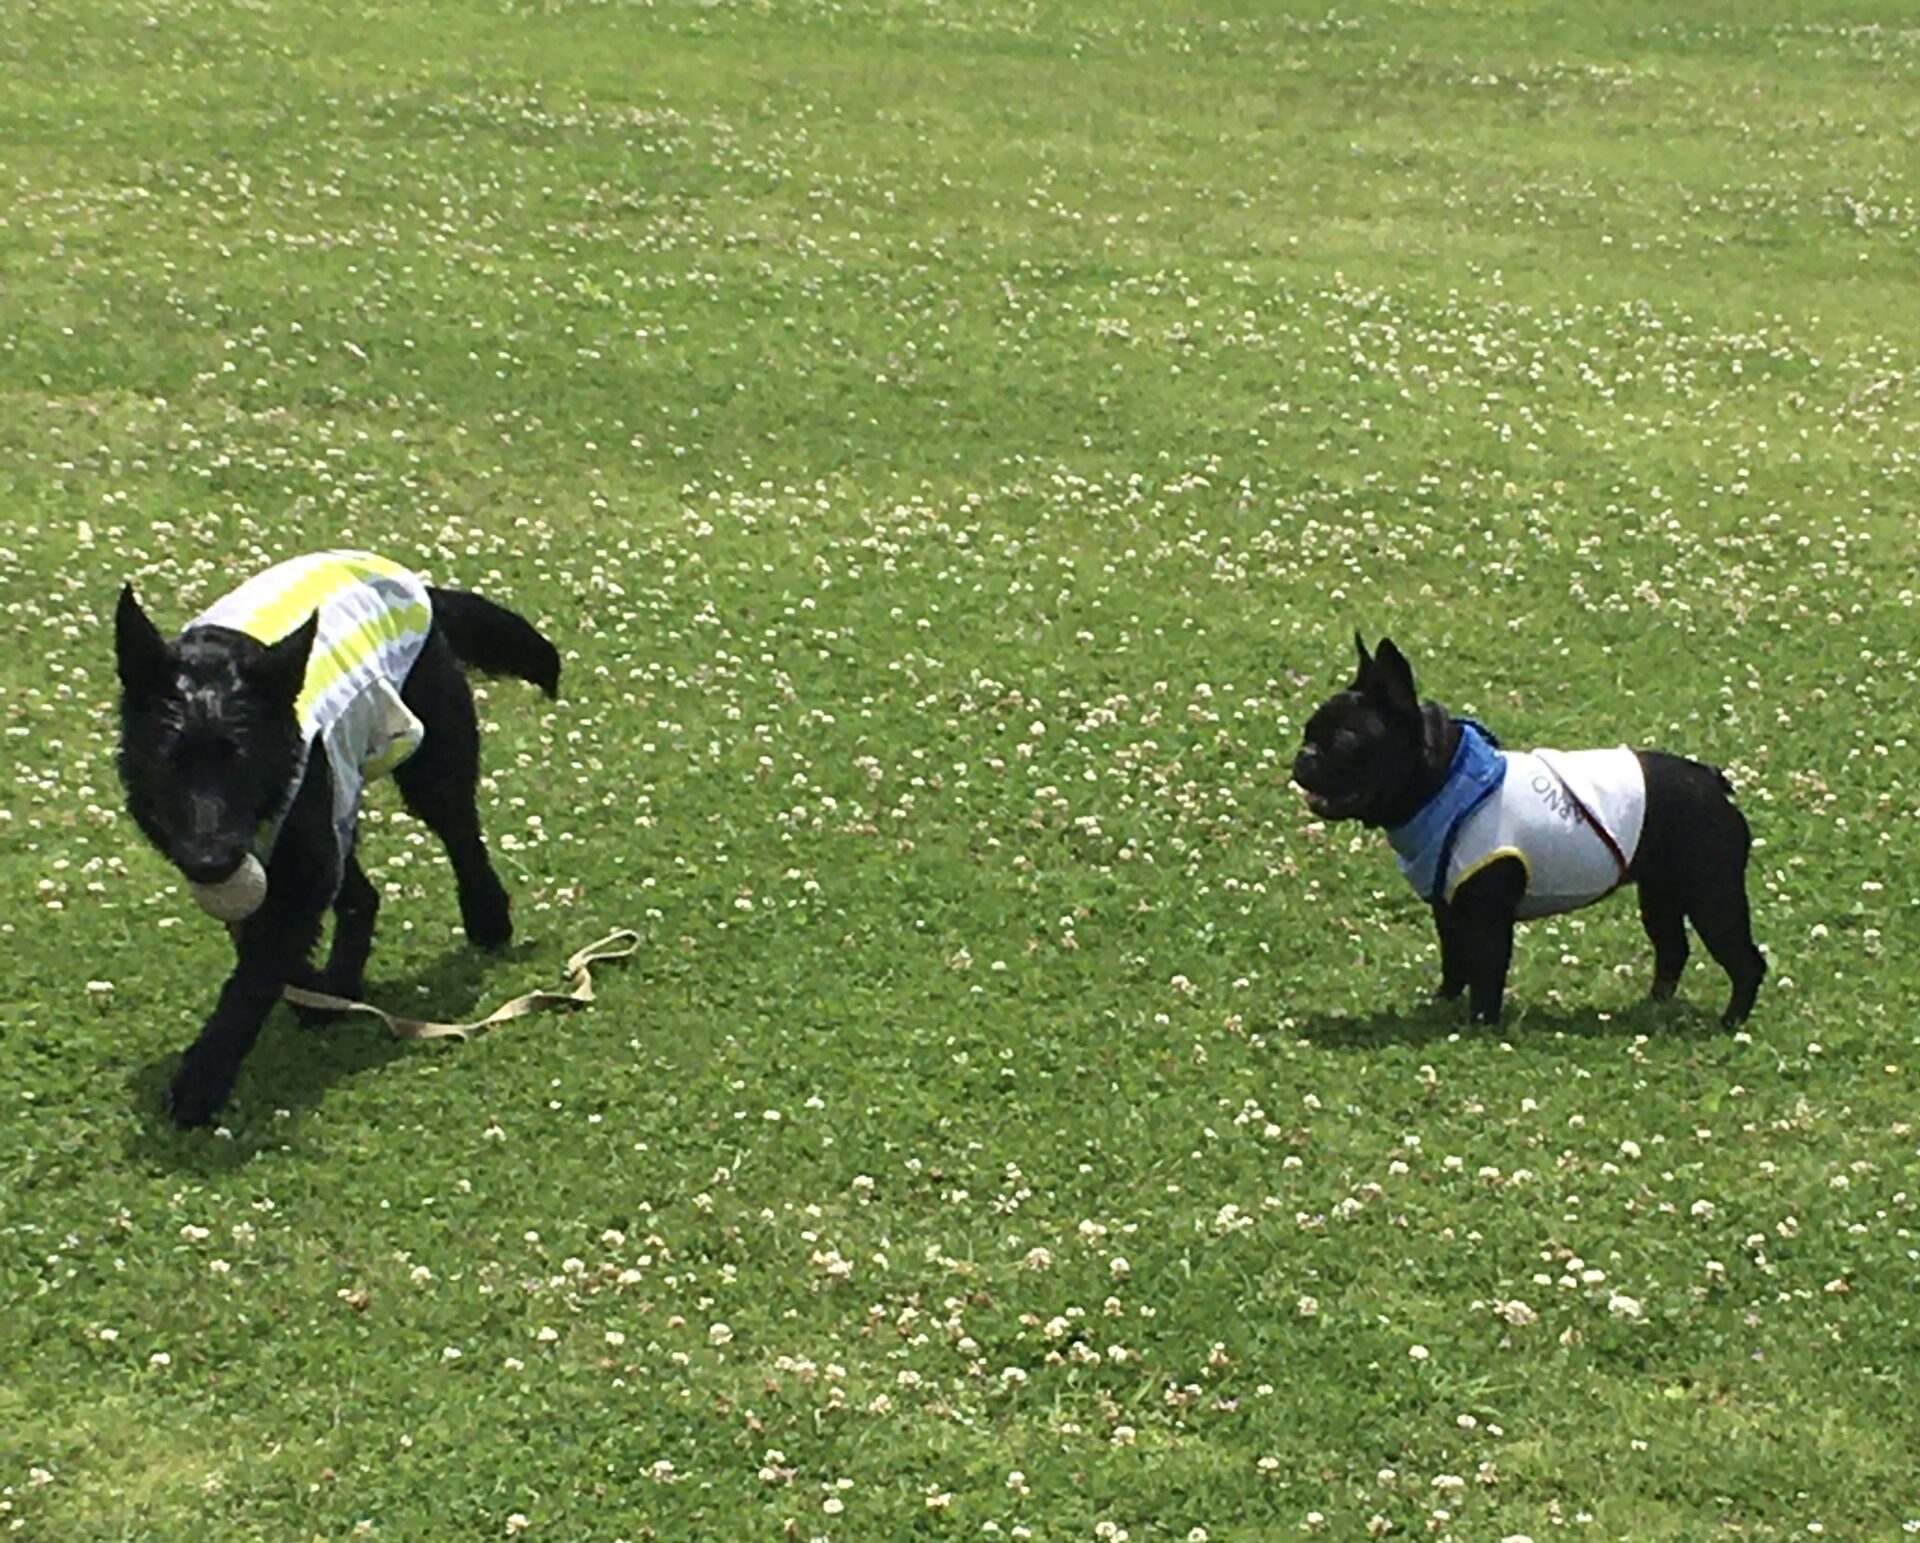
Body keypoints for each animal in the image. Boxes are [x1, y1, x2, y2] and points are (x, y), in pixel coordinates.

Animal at [114, 550, 560, 1126]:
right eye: (170, 762)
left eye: (241, 762)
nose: (210, 863)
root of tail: (420, 586)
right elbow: (264, 943)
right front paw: (311, 993)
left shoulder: (304, 850)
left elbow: (257, 969)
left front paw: (204, 1077)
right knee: (363, 895)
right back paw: (341, 986)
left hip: (429, 763)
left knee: (463, 840)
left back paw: (487, 918)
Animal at [1291, 635, 1764, 1026]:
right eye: (1308, 732)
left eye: (1345, 742)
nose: (1304, 754)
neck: (1447, 781)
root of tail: (1711, 780)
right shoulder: (1448, 908)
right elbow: (1453, 959)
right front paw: (1442, 1004)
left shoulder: (1488, 916)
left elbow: (1486, 970)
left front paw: (1479, 1024)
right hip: (1662, 894)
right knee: (1672, 948)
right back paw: (1653, 1005)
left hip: (1712, 896)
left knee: (1746, 961)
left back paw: (1731, 1022)